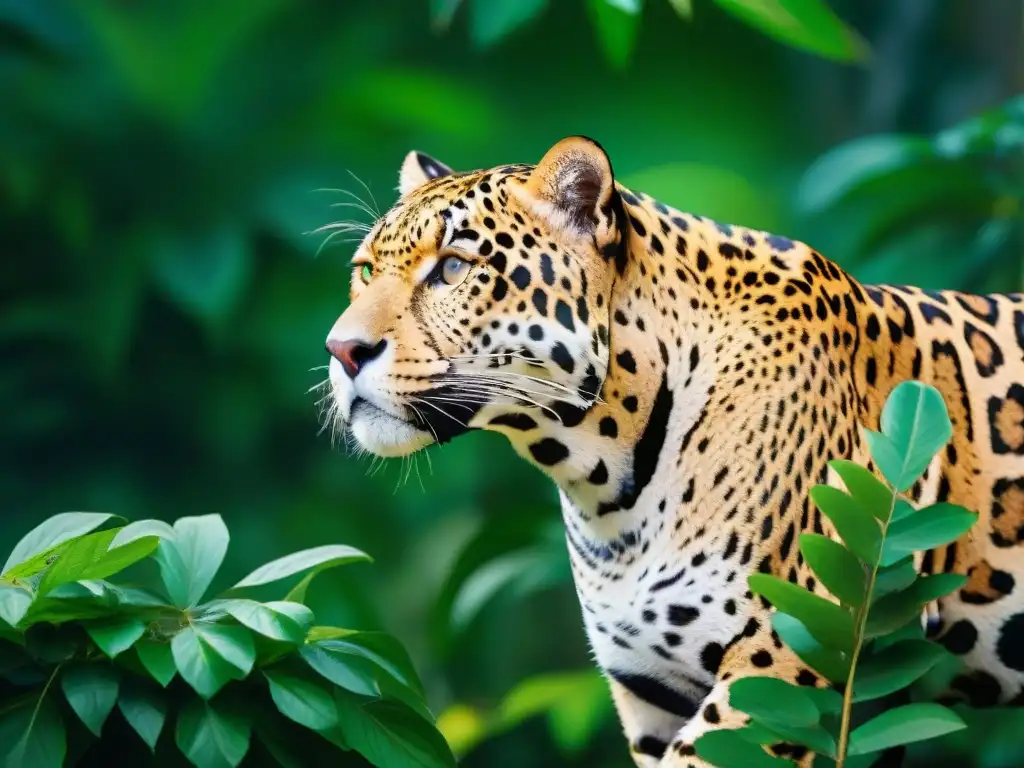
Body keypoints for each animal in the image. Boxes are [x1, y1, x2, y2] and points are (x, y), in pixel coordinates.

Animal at [322, 136, 1024, 767]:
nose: (342, 350)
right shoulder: (653, 688)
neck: (607, 483)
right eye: (364, 272)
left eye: (453, 268)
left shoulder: (790, 656)